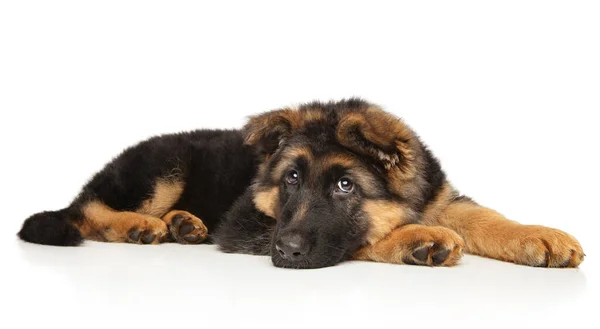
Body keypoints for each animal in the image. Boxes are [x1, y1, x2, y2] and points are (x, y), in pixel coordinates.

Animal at [17, 98, 580, 268]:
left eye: (346, 187)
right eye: (290, 178)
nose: (285, 253)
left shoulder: (440, 197)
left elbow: (485, 215)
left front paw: (540, 236)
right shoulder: (248, 223)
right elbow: (360, 240)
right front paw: (418, 239)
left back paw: (182, 224)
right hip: (163, 165)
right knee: (86, 209)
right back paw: (142, 226)